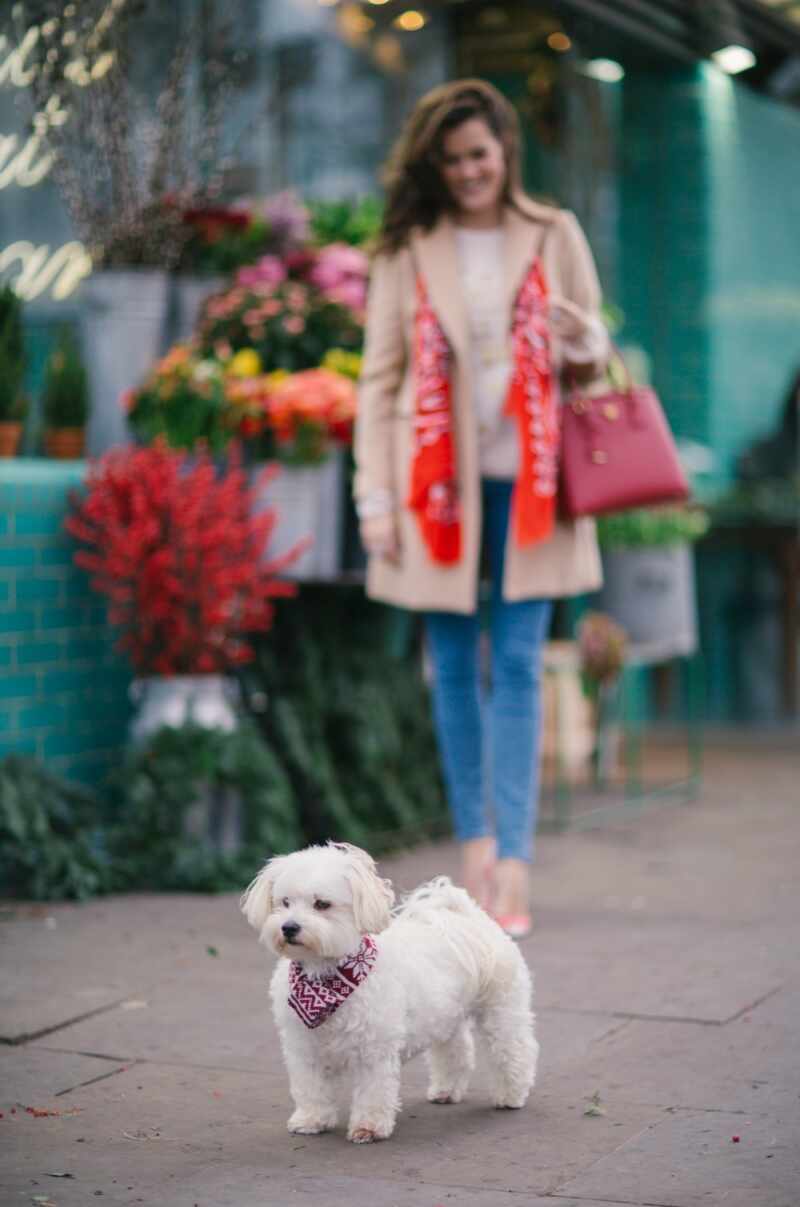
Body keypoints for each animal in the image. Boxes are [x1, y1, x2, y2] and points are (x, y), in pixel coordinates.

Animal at [238, 840, 538, 1139]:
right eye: (284, 902)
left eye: (322, 904)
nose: (288, 927)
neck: (325, 978)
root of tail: (466, 916)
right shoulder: (305, 1047)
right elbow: (312, 1088)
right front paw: (311, 1119)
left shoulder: (374, 1050)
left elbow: (373, 1091)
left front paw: (368, 1127)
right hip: (446, 1016)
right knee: (456, 1052)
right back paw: (446, 1090)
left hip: (501, 1011)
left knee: (514, 1050)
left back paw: (511, 1095)